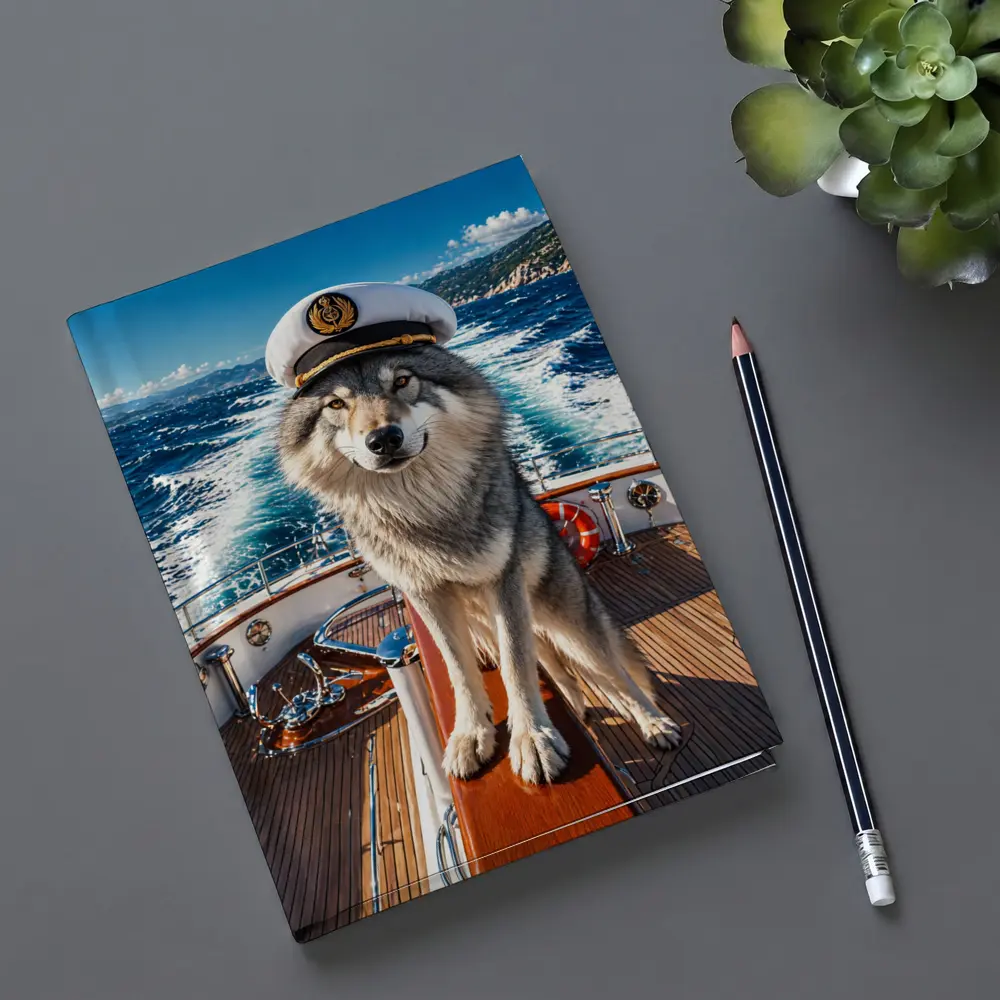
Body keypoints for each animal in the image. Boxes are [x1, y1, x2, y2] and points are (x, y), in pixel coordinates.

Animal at [277, 343, 681, 785]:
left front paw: (533, 738)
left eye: (401, 380)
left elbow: (516, 665)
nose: (383, 439)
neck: (420, 508)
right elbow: (458, 669)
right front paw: (472, 734)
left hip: (571, 624)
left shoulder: (503, 580)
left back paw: (654, 723)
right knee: (565, 672)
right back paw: (579, 706)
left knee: (617, 675)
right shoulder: (426, 595)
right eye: (336, 403)